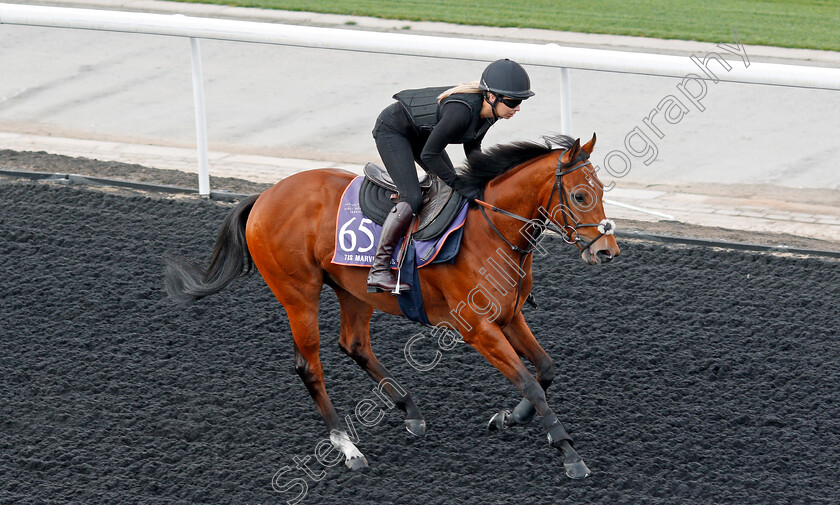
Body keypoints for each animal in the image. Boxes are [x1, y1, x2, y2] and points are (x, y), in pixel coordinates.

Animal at [167, 133, 620, 476]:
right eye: (581, 195)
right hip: (298, 293)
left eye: (601, 191)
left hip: (355, 290)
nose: (608, 251)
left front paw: (509, 417)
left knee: (354, 344)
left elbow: (545, 369)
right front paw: (568, 453)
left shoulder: (510, 316)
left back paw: (410, 410)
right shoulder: (477, 329)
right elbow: (529, 381)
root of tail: (262, 197)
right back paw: (347, 447)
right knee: (309, 366)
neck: (491, 232)